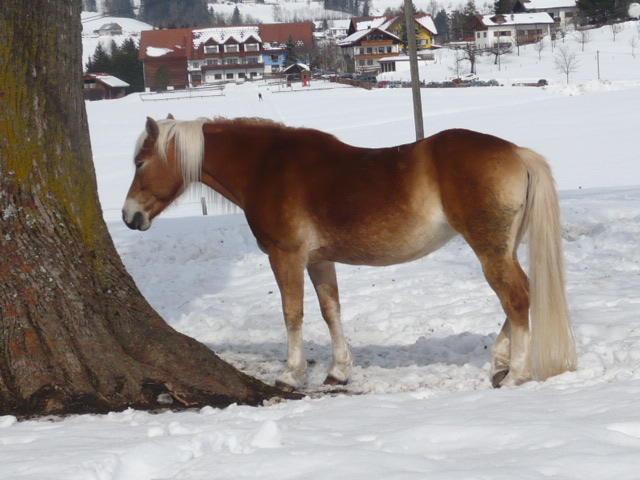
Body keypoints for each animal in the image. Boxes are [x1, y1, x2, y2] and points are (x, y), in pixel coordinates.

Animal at [122, 115, 576, 390]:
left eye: (140, 163)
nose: (129, 216)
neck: (268, 167)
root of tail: (516, 152)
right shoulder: (320, 259)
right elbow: (330, 311)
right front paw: (338, 370)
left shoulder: (286, 256)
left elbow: (292, 314)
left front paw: (291, 375)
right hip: (503, 248)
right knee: (519, 297)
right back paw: (501, 362)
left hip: (489, 248)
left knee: (515, 297)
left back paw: (515, 373)